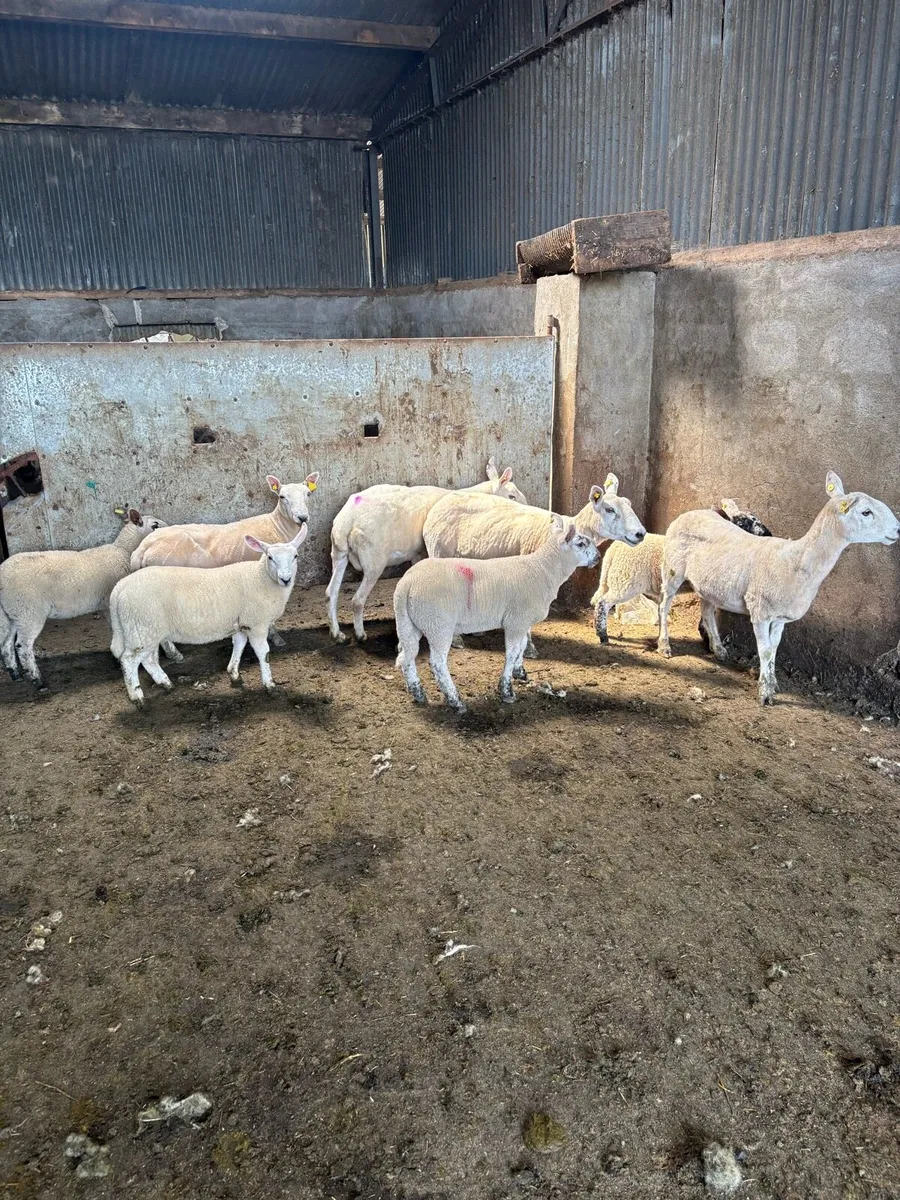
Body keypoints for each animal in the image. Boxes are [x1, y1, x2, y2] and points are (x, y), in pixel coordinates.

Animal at [0, 508, 170, 689]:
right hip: (29, 611)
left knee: (6, 644)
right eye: (155, 526)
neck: (123, 551)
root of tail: (2, 573)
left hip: (11, 613)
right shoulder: (109, 602)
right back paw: (38, 681)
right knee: (22, 647)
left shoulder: (105, 605)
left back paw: (15, 674)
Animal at [109, 527, 308, 706]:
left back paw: (166, 684)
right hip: (142, 626)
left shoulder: (241, 623)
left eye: (295, 556)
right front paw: (270, 685)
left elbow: (239, 645)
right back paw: (137, 697)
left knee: (148, 660)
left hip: (146, 629)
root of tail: (118, 590)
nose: (285, 579)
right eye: (270, 557)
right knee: (129, 660)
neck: (261, 578)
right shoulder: (256, 624)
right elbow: (263, 653)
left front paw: (234, 674)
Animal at [326, 456, 528, 644]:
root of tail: (347, 522)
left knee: (331, 593)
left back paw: (338, 634)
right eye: (512, 496)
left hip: (338, 553)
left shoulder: (418, 554)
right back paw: (360, 635)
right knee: (357, 600)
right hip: (374, 560)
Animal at [394, 520, 600, 713]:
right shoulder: (516, 621)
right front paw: (506, 690)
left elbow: (522, 647)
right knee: (437, 663)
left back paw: (418, 693)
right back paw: (455, 700)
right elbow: (512, 653)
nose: (598, 557)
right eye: (581, 543)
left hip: (408, 623)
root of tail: (407, 583)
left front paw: (519, 672)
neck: (543, 569)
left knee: (406, 656)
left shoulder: (522, 621)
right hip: (438, 625)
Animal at [657, 472, 900, 705]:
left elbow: (774, 649)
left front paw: (772, 682)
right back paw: (664, 646)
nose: (898, 529)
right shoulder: (761, 612)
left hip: (709, 583)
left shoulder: (780, 617)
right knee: (664, 606)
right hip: (672, 569)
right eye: (866, 512)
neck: (796, 561)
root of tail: (691, 513)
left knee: (707, 612)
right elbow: (764, 651)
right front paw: (765, 692)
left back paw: (718, 649)